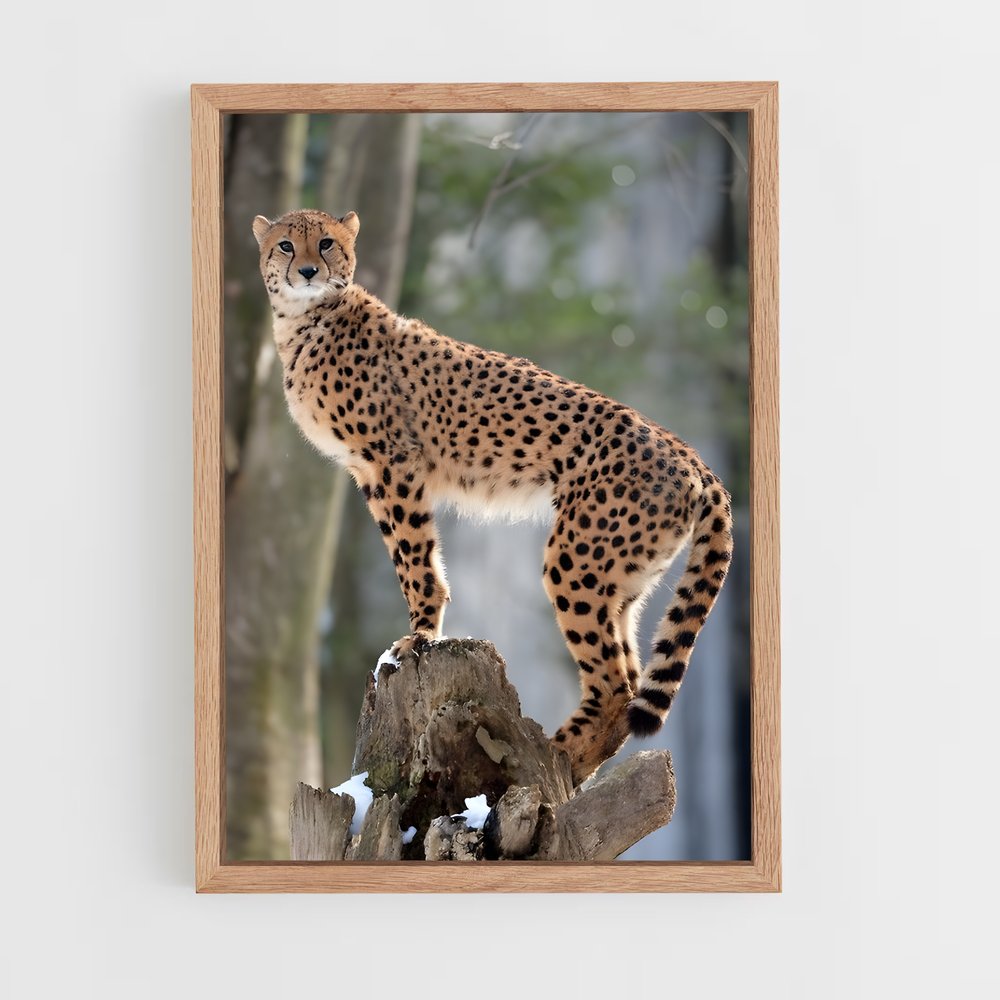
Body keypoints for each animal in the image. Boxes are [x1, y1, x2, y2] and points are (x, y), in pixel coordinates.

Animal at [253, 208, 734, 785]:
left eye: (326, 243)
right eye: (285, 245)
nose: (306, 270)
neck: (303, 320)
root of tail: (691, 455)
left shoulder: (392, 461)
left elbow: (414, 558)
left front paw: (420, 636)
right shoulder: (370, 471)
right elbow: (411, 553)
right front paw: (422, 632)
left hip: (575, 561)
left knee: (616, 687)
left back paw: (551, 758)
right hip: (623, 579)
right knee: (630, 674)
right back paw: (564, 766)